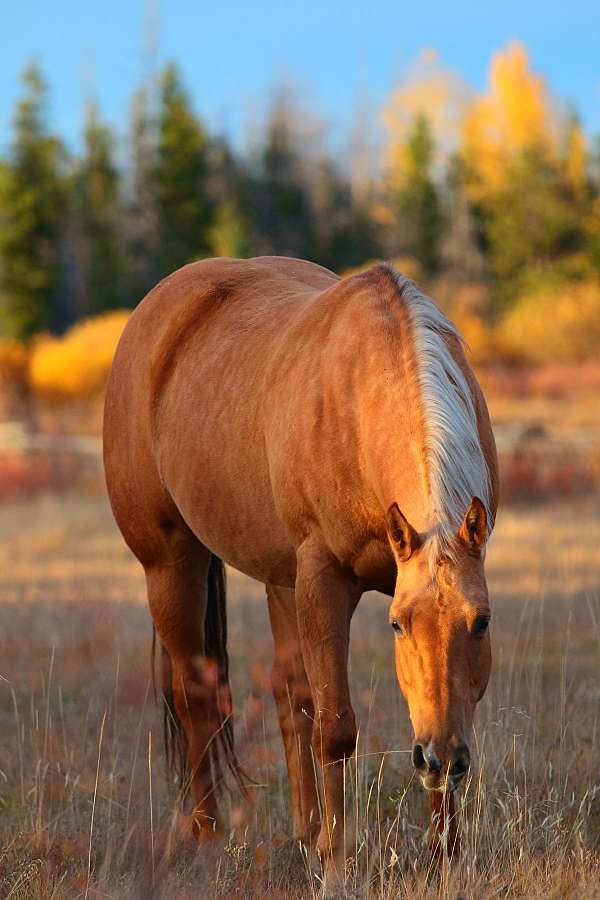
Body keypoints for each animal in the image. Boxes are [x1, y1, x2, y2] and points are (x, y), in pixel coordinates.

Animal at [103, 256, 496, 876]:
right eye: (397, 625)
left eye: (480, 623)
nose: (439, 761)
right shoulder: (323, 583)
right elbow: (335, 730)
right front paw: (336, 864)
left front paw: (445, 857)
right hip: (171, 566)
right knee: (196, 696)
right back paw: (210, 838)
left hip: (279, 581)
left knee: (290, 696)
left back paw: (305, 833)